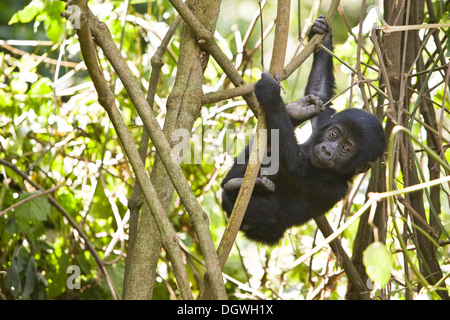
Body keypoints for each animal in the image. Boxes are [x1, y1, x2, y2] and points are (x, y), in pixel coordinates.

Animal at [220, 16, 384, 244]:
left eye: (345, 149)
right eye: (334, 134)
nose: (327, 150)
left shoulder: (329, 185)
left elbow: (294, 164)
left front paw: (272, 97)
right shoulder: (325, 123)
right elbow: (321, 94)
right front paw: (323, 34)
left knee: (270, 219)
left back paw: (234, 189)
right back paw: (294, 113)